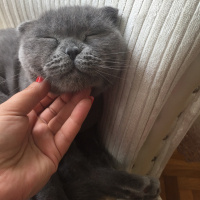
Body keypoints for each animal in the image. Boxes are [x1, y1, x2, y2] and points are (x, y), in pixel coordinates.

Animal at [0, 5, 160, 199]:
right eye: (49, 38)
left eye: (92, 34)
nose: (72, 50)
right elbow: (59, 179)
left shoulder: (89, 129)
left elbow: (96, 153)